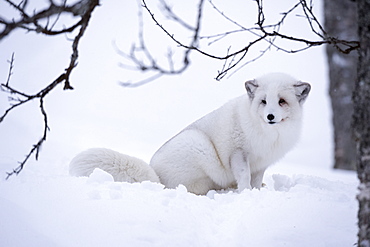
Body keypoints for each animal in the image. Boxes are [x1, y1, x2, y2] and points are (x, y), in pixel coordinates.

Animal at [68, 72, 310, 194]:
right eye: (264, 101)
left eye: (281, 101)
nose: (270, 116)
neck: (269, 134)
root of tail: (156, 178)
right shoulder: (238, 153)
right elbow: (244, 177)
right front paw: (246, 194)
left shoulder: (261, 163)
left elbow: (256, 179)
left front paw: (257, 191)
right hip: (198, 144)